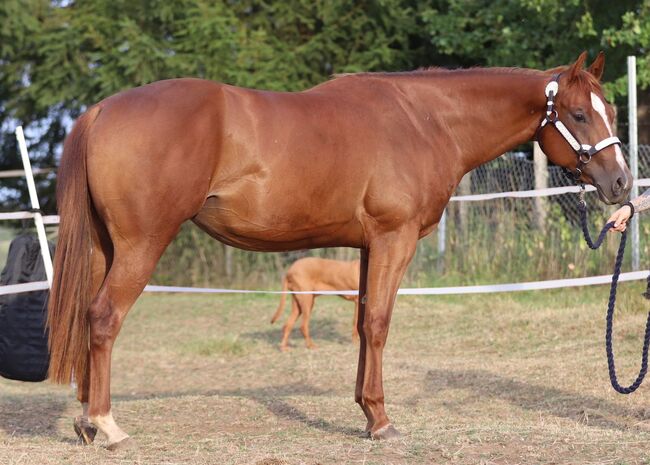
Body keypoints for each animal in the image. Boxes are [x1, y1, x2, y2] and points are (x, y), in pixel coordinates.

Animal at [45, 51, 628, 450]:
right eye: (578, 114)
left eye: (613, 110)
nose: (621, 183)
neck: (425, 120)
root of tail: (102, 110)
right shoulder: (394, 239)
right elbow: (379, 324)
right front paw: (383, 422)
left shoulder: (370, 246)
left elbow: (365, 322)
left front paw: (366, 413)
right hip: (141, 245)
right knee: (103, 318)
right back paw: (107, 425)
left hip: (104, 249)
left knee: (86, 317)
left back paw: (84, 422)